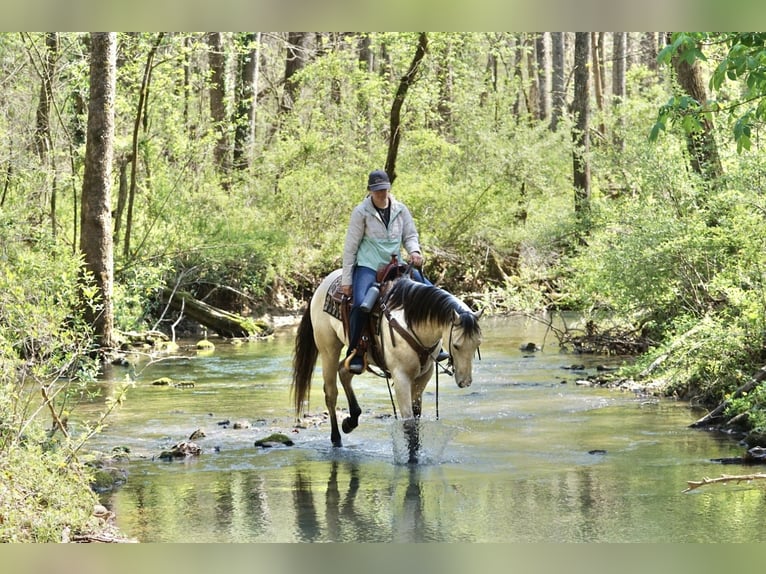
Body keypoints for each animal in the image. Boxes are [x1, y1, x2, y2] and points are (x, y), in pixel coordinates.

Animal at [291, 268, 483, 463]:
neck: (411, 322)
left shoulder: (424, 374)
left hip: (359, 357)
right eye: (456, 345)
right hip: (328, 349)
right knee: (331, 393)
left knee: (345, 370)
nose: (465, 382)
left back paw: (351, 421)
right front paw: (412, 460)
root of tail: (321, 286)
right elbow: (408, 420)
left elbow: (417, 416)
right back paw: (336, 439)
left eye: (477, 344)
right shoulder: (401, 377)